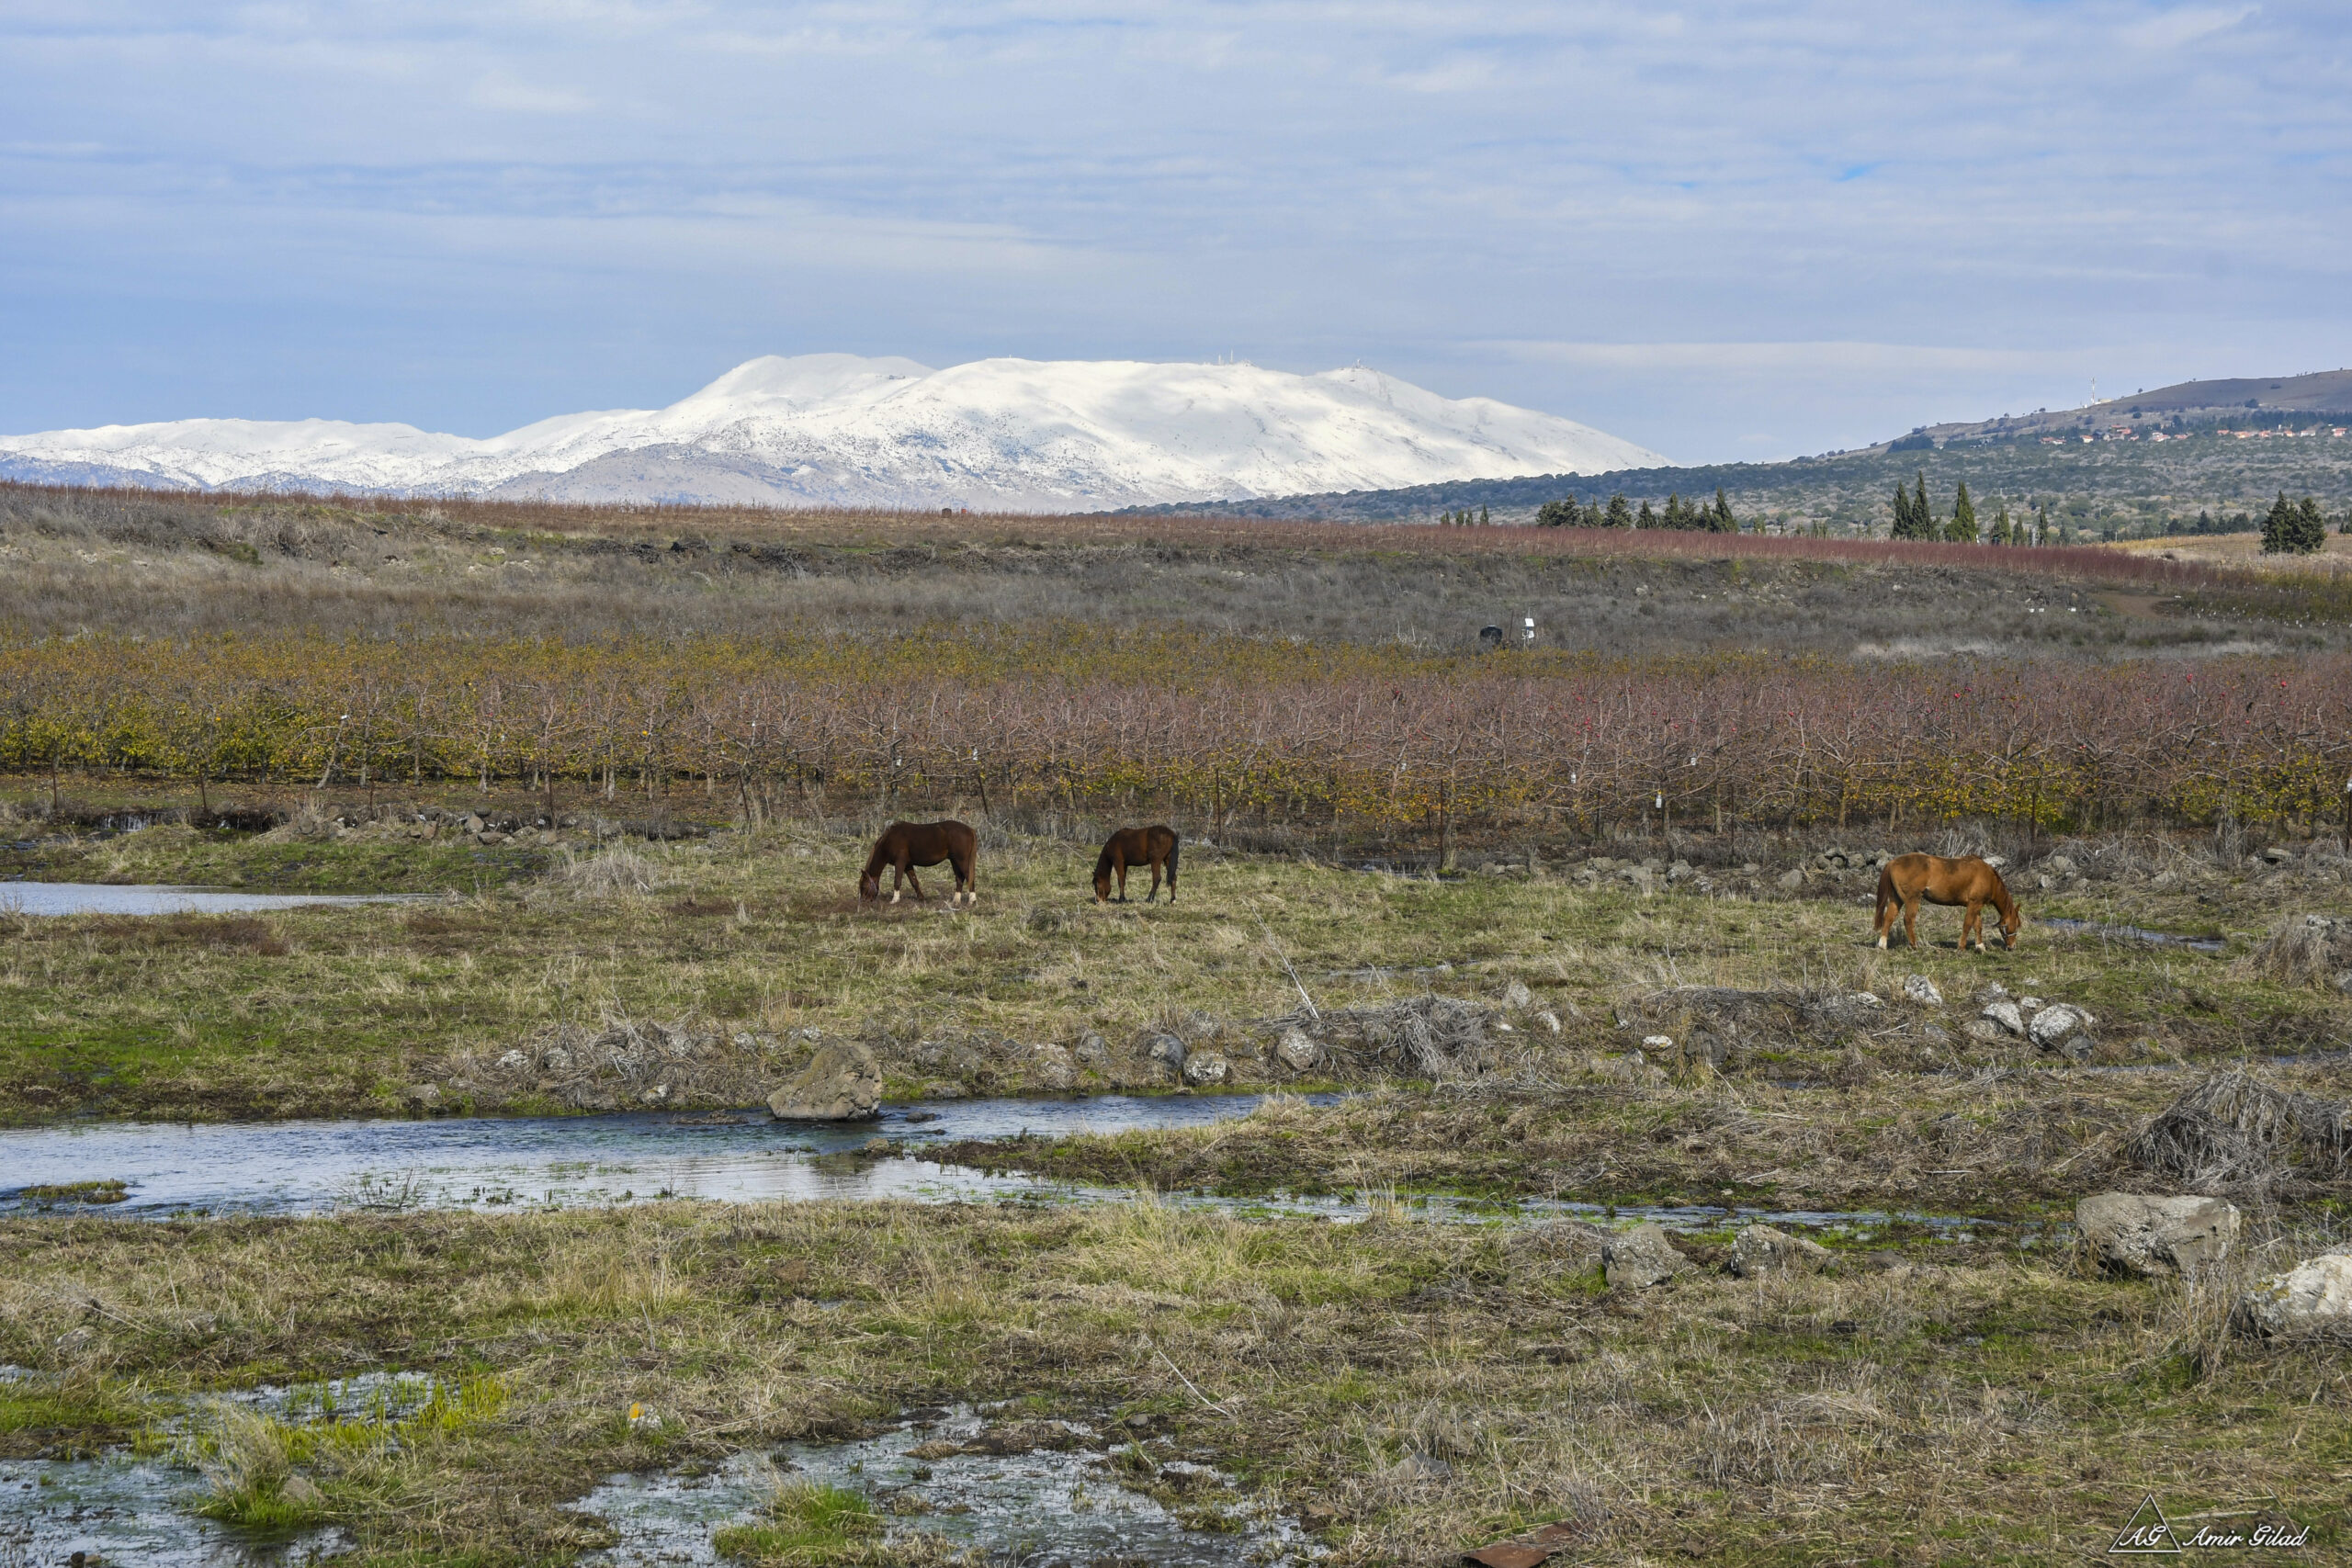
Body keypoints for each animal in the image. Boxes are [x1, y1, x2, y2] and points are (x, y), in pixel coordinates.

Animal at [860, 822, 978, 907]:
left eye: (864, 886)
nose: (863, 902)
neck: (890, 840)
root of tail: (970, 830)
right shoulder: (908, 865)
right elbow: (914, 882)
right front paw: (921, 898)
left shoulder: (900, 863)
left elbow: (897, 881)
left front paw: (894, 900)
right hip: (954, 861)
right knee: (959, 879)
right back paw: (956, 901)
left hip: (961, 861)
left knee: (969, 877)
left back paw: (972, 901)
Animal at [1871, 851, 2022, 949]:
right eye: (2015, 924)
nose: (2012, 946)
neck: (1988, 877)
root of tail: (1892, 862)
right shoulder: (1974, 904)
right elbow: (1967, 924)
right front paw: (1961, 947)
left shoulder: (1977, 905)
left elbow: (1978, 925)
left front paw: (1980, 946)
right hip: (1912, 899)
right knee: (1908, 920)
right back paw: (1914, 945)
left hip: (1896, 899)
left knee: (1889, 918)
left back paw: (1882, 944)